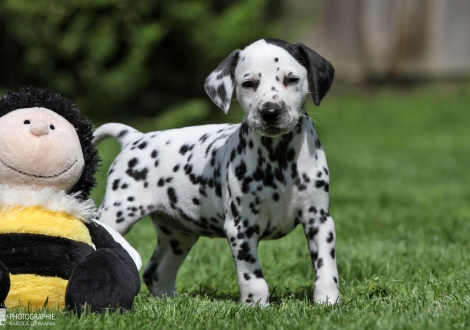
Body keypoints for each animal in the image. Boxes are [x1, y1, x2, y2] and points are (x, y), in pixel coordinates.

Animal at [93, 38, 340, 304]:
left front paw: (328, 301)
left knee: (156, 273)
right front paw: (256, 305)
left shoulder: (319, 220)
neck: (279, 159)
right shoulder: (240, 228)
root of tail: (134, 137)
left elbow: (326, 267)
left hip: (178, 235)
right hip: (118, 213)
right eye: (248, 83)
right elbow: (252, 277)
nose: (270, 112)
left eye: (292, 79)